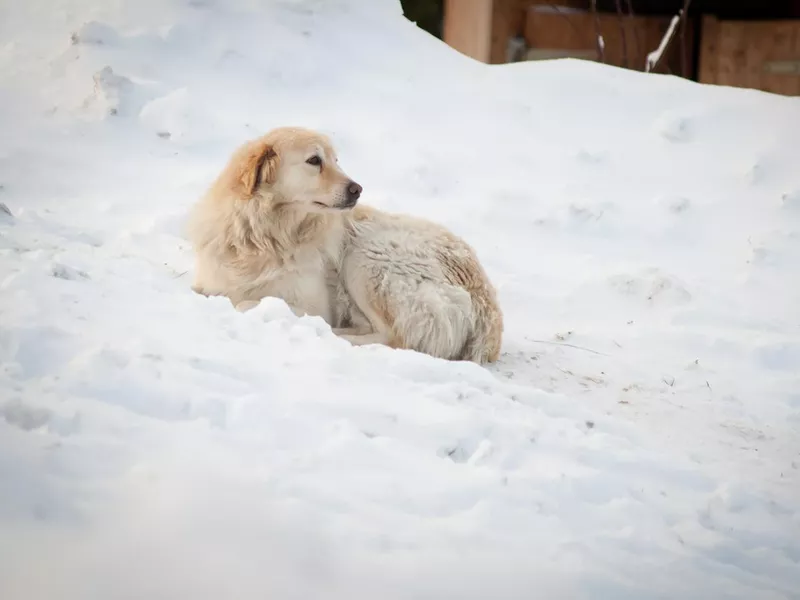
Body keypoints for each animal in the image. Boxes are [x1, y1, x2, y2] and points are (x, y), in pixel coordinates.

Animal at [188, 125, 504, 366]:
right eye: (314, 160)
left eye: (335, 160)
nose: (357, 190)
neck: (267, 236)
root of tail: (487, 303)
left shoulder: (311, 304)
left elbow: (244, 303)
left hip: (366, 258)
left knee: (395, 338)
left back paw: (339, 334)